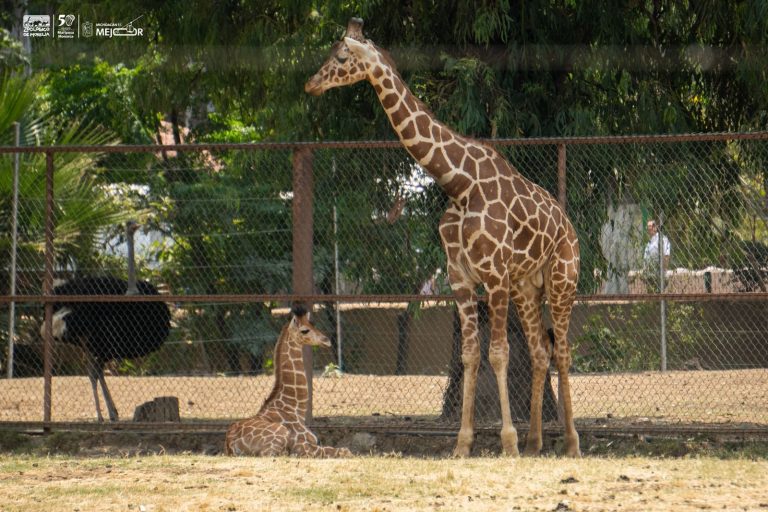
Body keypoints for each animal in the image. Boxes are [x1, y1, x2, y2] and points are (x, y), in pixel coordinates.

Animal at [224, 306, 352, 457]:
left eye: (312, 325)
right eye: (305, 330)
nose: (326, 340)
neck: (294, 408)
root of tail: (231, 443)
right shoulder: (303, 445)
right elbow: (343, 450)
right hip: (281, 434)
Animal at [305, 18, 581, 457]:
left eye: (343, 57)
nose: (311, 84)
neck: (459, 184)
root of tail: (569, 227)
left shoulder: (494, 276)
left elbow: (498, 354)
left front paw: (507, 442)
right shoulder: (462, 278)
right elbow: (470, 356)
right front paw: (463, 443)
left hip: (561, 280)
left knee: (565, 351)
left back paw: (570, 441)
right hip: (526, 286)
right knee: (541, 351)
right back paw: (537, 441)